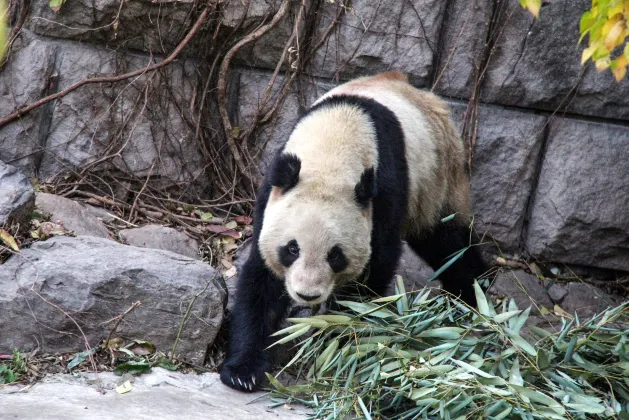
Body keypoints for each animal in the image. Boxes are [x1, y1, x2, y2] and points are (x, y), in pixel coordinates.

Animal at [218, 69, 488, 394]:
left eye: (335, 255)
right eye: (292, 249)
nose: (307, 295)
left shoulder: (383, 191)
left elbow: (376, 265)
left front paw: (342, 337)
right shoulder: (274, 191)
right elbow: (262, 277)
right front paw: (243, 371)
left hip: (439, 176)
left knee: (447, 242)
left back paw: (475, 294)